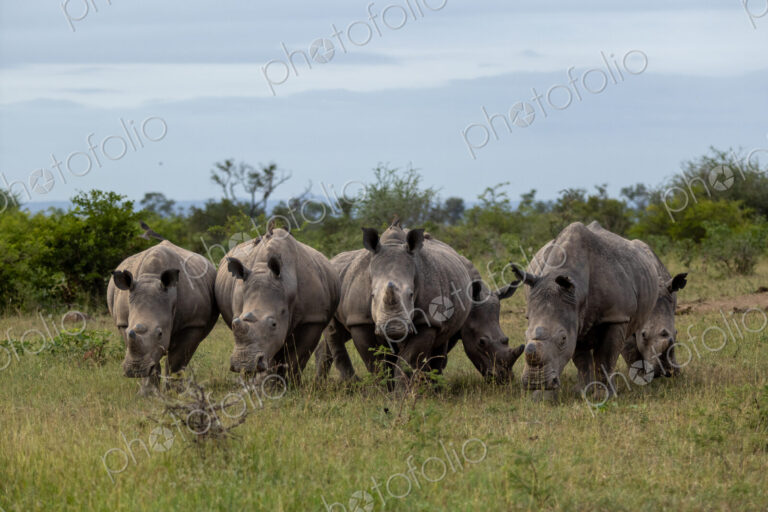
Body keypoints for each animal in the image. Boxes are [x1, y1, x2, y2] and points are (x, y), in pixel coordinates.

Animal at [107, 230, 219, 391]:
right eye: (128, 331)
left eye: (160, 333)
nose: (135, 370)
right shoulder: (123, 322)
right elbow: (150, 358)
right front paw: (148, 392)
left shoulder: (192, 323)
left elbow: (177, 360)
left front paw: (174, 392)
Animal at [215, 228, 340, 383]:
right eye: (233, 324)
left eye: (274, 324)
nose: (243, 363)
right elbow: (271, 353)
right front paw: (265, 383)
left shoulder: (312, 319)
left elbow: (296, 358)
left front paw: (291, 385)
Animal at [314, 221, 518, 387]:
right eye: (482, 343)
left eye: (506, 340)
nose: (503, 379)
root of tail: (332, 259)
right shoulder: (360, 320)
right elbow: (378, 362)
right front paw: (387, 391)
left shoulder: (434, 321)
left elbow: (425, 357)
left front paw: (423, 385)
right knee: (335, 332)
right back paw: (346, 384)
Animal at [513, 222, 658, 395]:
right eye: (524, 334)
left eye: (562, 339)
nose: (536, 383)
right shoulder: (574, 316)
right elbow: (581, 359)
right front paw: (582, 391)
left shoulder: (616, 315)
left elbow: (605, 357)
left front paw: (603, 395)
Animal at [586, 222, 687, 379]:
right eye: (644, 335)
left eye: (676, 332)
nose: (664, 372)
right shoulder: (623, 317)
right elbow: (631, 350)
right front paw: (638, 376)